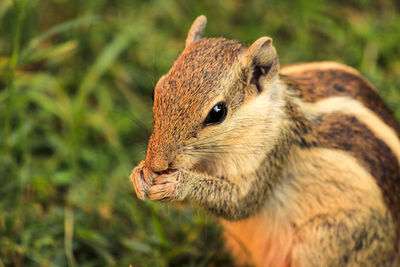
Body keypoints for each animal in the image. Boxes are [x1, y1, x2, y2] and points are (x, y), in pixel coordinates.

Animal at [130, 15, 400, 266]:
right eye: (157, 90)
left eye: (217, 112)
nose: (156, 163)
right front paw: (140, 175)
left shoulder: (272, 154)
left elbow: (241, 203)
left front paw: (178, 183)